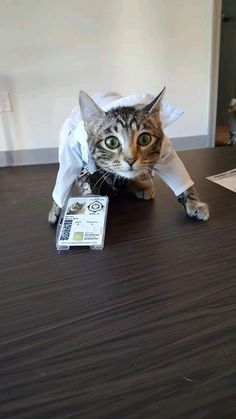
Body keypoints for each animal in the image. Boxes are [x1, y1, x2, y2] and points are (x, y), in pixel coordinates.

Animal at [48, 90, 208, 225]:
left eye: (144, 139)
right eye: (111, 142)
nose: (130, 160)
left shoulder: (165, 151)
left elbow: (178, 175)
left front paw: (194, 203)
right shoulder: (77, 158)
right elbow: (73, 180)